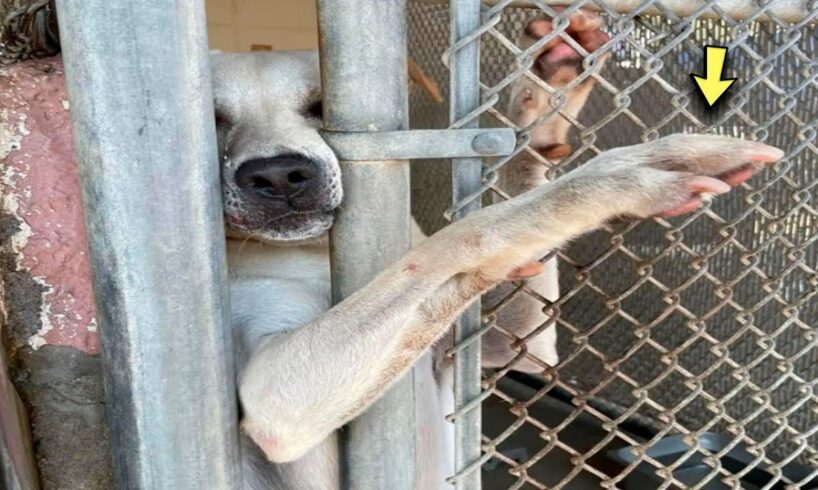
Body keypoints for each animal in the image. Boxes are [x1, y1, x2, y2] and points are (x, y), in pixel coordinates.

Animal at [209, 10, 776, 486]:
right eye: (210, 119)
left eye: (322, 107)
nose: (278, 175)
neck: (313, 250)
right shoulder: (275, 395)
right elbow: (467, 232)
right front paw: (619, 177)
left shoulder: (509, 346)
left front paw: (546, 91)